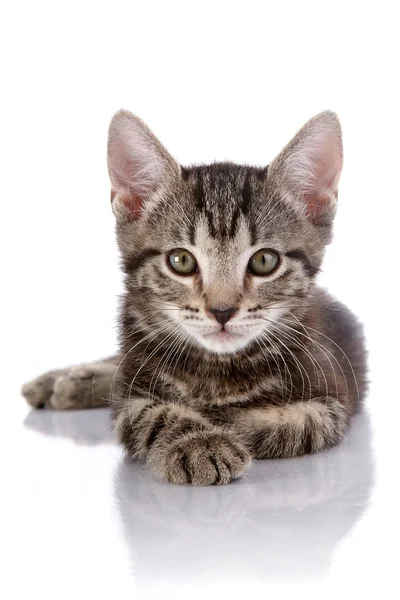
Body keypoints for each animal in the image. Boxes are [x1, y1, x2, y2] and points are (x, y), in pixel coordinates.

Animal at [21, 110, 366, 486]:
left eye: (264, 261)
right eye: (181, 260)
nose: (222, 311)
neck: (217, 370)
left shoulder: (330, 405)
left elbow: (283, 423)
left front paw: (219, 422)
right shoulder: (130, 397)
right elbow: (149, 412)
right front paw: (200, 444)